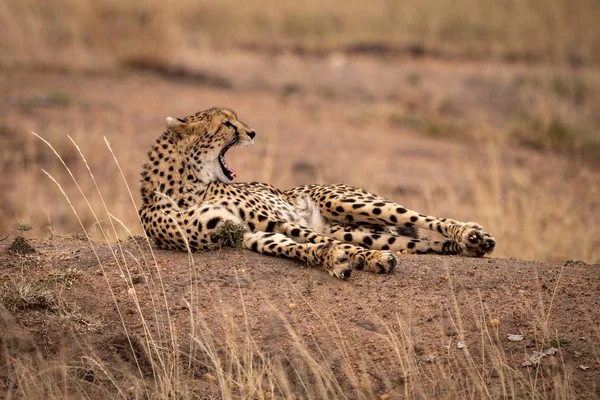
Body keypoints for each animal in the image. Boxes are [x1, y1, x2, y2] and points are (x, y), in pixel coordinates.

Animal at [139, 108, 496, 280]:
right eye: (227, 124)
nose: (252, 132)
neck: (188, 185)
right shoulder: (248, 234)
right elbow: (295, 247)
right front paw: (331, 260)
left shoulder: (274, 221)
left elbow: (317, 241)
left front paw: (365, 260)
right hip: (364, 231)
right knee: (419, 243)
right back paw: (466, 246)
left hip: (348, 201)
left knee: (423, 217)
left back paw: (471, 234)